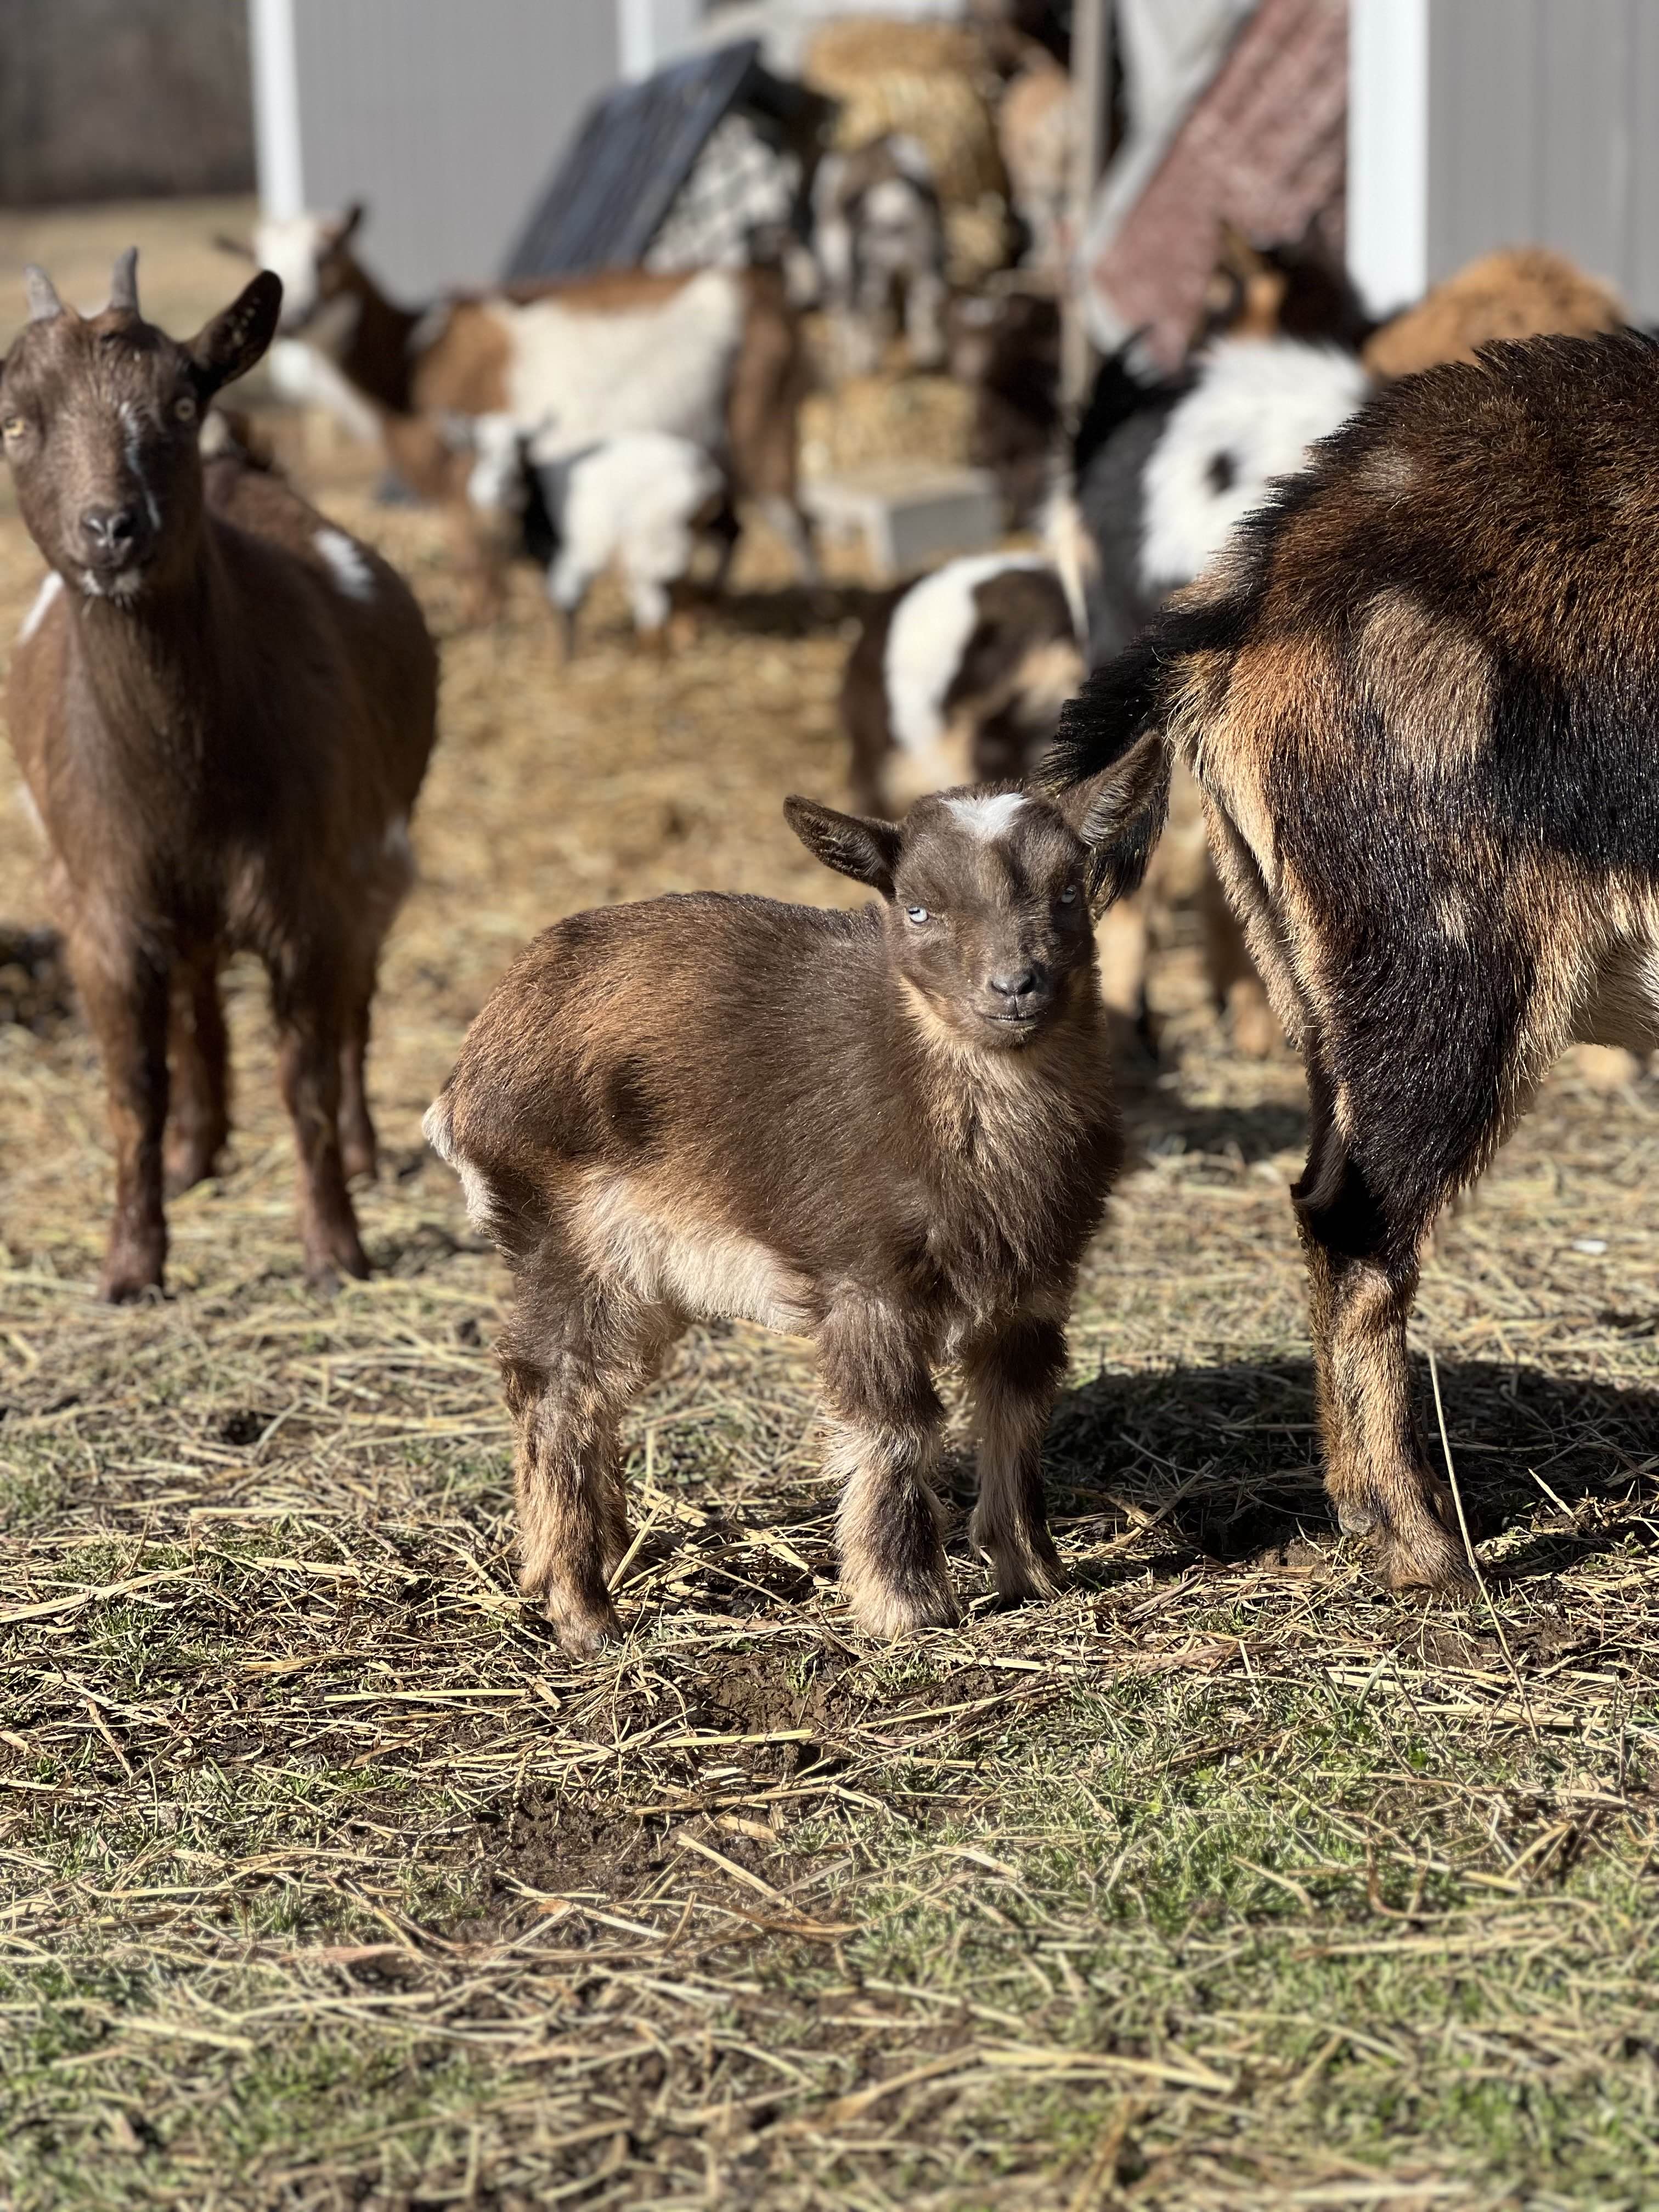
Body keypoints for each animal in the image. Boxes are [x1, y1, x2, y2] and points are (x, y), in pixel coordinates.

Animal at [2, 253, 438, 1299]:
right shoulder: (100, 911)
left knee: (355, 1011)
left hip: (376, 862)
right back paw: (195, 1152)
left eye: (179, 402)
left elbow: (307, 1075)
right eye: (17, 421)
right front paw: (131, 1265)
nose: (112, 528)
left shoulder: (310, 898)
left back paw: (359, 1153)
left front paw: (334, 1250)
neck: (183, 779)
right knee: (197, 1003)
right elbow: (133, 1086)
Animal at [238, 208, 816, 618]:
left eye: (325, 256)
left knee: (791, 517)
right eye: (261, 258)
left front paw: (487, 622)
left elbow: (474, 555)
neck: (411, 358)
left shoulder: (461, 470)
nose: (296, 315)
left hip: (763, 414)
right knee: (732, 526)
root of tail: (763, 286)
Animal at [424, 785, 1123, 1653]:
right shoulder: (867, 1281)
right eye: (918, 907)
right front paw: (907, 1606)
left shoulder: (1034, 1286)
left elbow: (1018, 1415)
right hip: (570, 1240)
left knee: (591, 1392)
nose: (1014, 987)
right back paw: (585, 1613)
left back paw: (608, 1553)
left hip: (645, 1274)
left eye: (1069, 892)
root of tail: (471, 1071)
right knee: (555, 1391)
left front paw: (1034, 1574)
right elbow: (895, 1428)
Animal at [812, 134, 949, 375]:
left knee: (861, 312)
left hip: (862, 273)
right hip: (927, 265)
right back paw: (928, 355)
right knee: (923, 306)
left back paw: (863, 362)